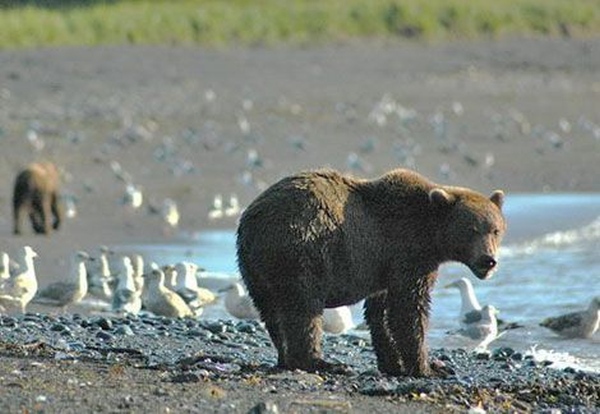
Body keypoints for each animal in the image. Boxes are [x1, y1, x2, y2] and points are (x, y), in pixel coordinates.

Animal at [237, 168, 504, 378]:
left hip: (256, 271)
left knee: (271, 311)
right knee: (304, 310)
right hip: (301, 252)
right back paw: (323, 363)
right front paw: (427, 367)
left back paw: (284, 357)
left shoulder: (383, 268)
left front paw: (394, 364)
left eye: (495, 229)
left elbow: (380, 313)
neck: (431, 235)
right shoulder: (407, 255)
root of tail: (253, 221)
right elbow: (408, 310)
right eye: (471, 229)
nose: (488, 260)